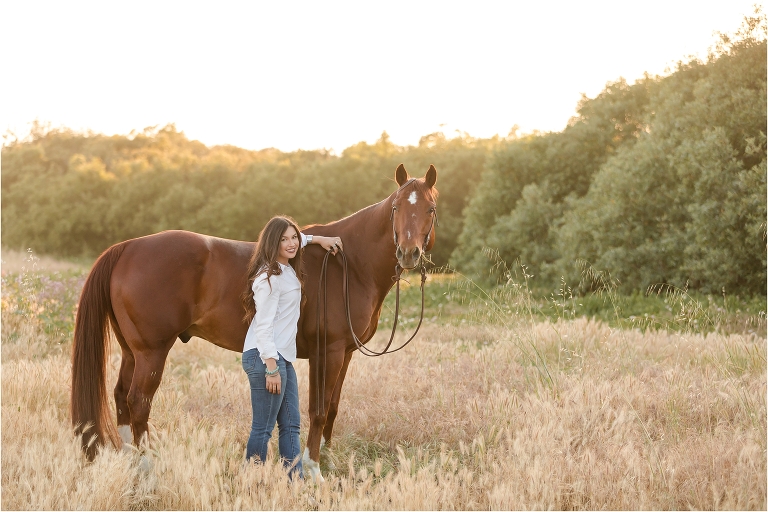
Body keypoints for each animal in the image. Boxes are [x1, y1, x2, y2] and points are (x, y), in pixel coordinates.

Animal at [71, 163, 438, 481]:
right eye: (396, 208)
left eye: (430, 209)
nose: (408, 253)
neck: (348, 264)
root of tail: (128, 247)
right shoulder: (328, 353)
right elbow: (318, 410)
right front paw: (313, 469)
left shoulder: (344, 353)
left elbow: (332, 408)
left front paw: (329, 462)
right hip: (152, 352)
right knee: (137, 402)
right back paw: (147, 468)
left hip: (132, 352)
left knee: (121, 396)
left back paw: (129, 461)